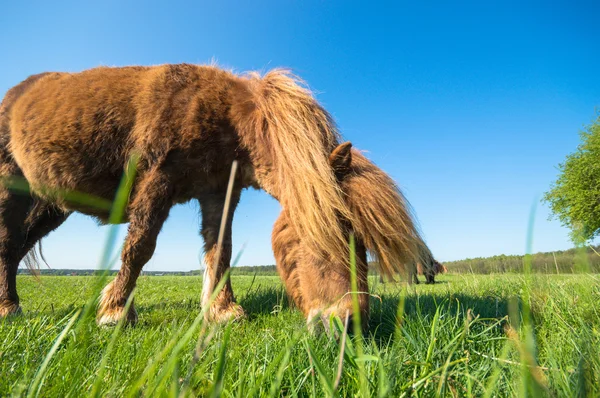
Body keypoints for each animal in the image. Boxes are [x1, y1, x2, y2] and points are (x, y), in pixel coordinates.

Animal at [0, 63, 424, 328]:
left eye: (362, 243)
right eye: (338, 233)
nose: (350, 322)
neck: (222, 116)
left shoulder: (220, 193)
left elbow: (219, 248)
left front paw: (222, 311)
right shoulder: (157, 182)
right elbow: (140, 247)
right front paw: (116, 312)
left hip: (51, 206)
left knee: (19, 247)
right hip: (11, 187)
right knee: (7, 245)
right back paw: (9, 308)